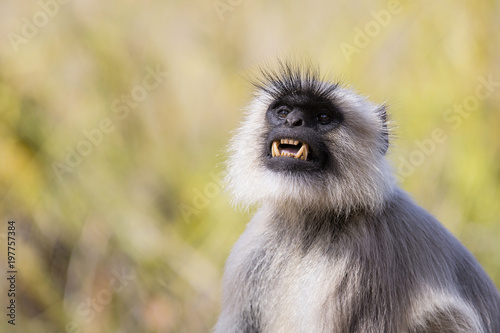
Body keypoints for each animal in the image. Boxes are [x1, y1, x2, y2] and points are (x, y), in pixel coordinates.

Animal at [217, 63, 500, 332]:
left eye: (323, 117)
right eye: (283, 112)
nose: (293, 121)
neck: (309, 224)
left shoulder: (367, 265)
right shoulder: (253, 247)